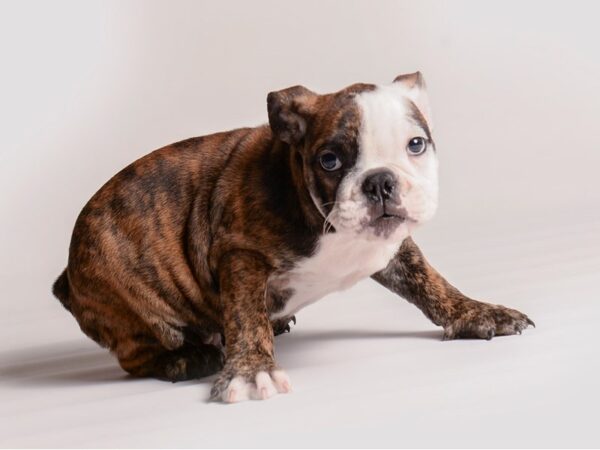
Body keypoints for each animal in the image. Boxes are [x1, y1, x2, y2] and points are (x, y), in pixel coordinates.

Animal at [52, 74, 536, 404]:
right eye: (329, 160)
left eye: (416, 145)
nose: (381, 181)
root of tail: (67, 278)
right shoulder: (240, 254)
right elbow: (245, 315)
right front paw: (251, 370)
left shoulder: (395, 247)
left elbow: (430, 283)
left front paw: (475, 312)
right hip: (131, 294)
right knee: (139, 351)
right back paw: (186, 358)